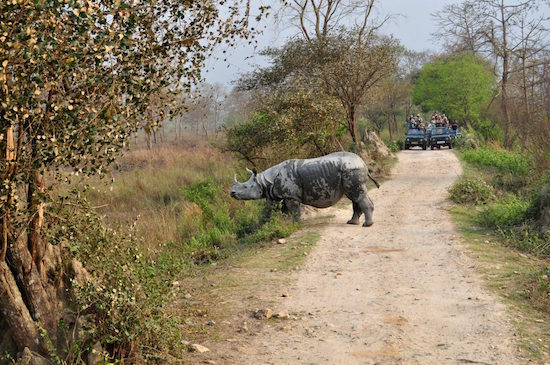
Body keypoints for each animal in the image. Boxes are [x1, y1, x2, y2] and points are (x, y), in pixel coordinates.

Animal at [230, 151, 380, 225]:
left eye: (245, 186)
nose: (232, 192)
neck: (264, 181)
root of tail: (363, 162)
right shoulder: (280, 195)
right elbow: (275, 211)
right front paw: (269, 225)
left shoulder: (291, 196)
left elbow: (294, 211)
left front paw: (295, 224)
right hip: (350, 170)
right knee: (355, 196)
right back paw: (352, 222)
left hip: (351, 169)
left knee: (356, 195)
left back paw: (367, 225)